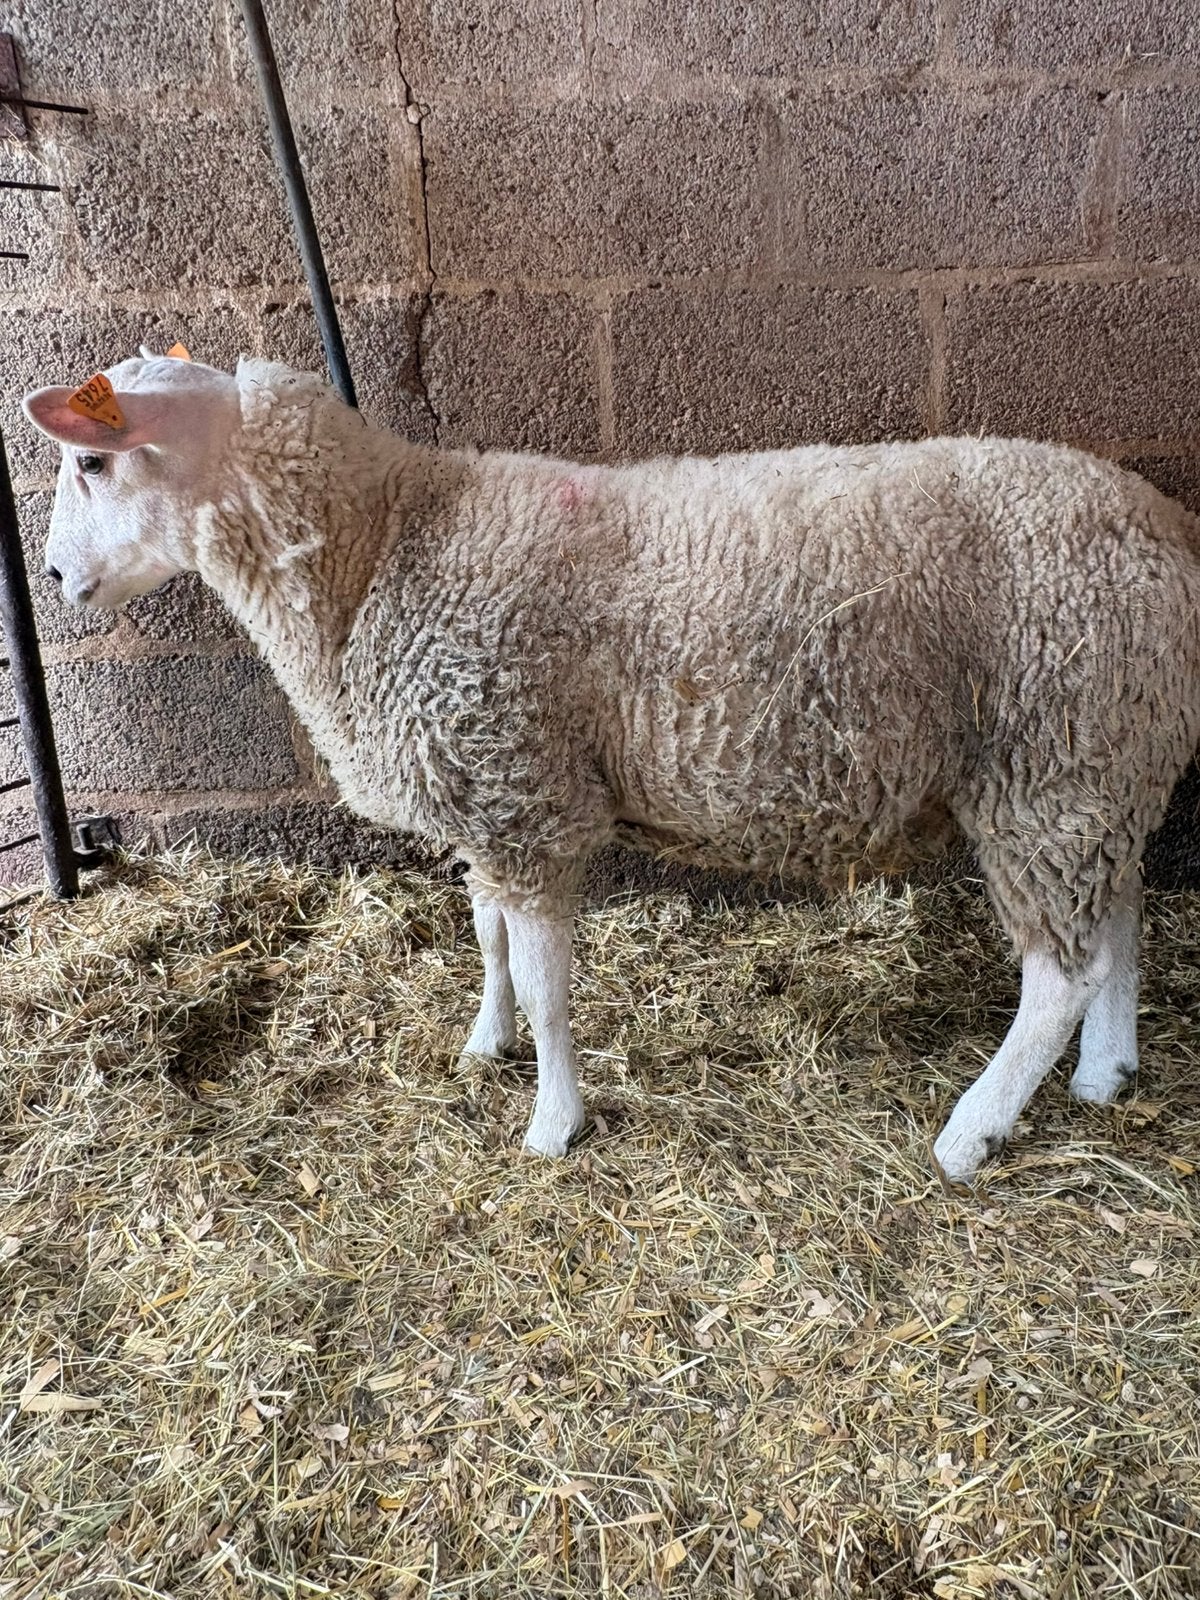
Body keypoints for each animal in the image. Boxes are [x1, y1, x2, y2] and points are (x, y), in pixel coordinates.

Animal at [22, 352, 1200, 1181]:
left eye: (92, 459)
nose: (57, 579)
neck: (384, 546)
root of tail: (1164, 527)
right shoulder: (491, 792)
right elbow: (489, 939)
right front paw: (484, 1042)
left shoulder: (527, 802)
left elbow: (547, 984)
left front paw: (553, 1122)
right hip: (1103, 756)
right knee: (1118, 917)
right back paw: (1105, 1073)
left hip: (1050, 757)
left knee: (1058, 972)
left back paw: (972, 1131)